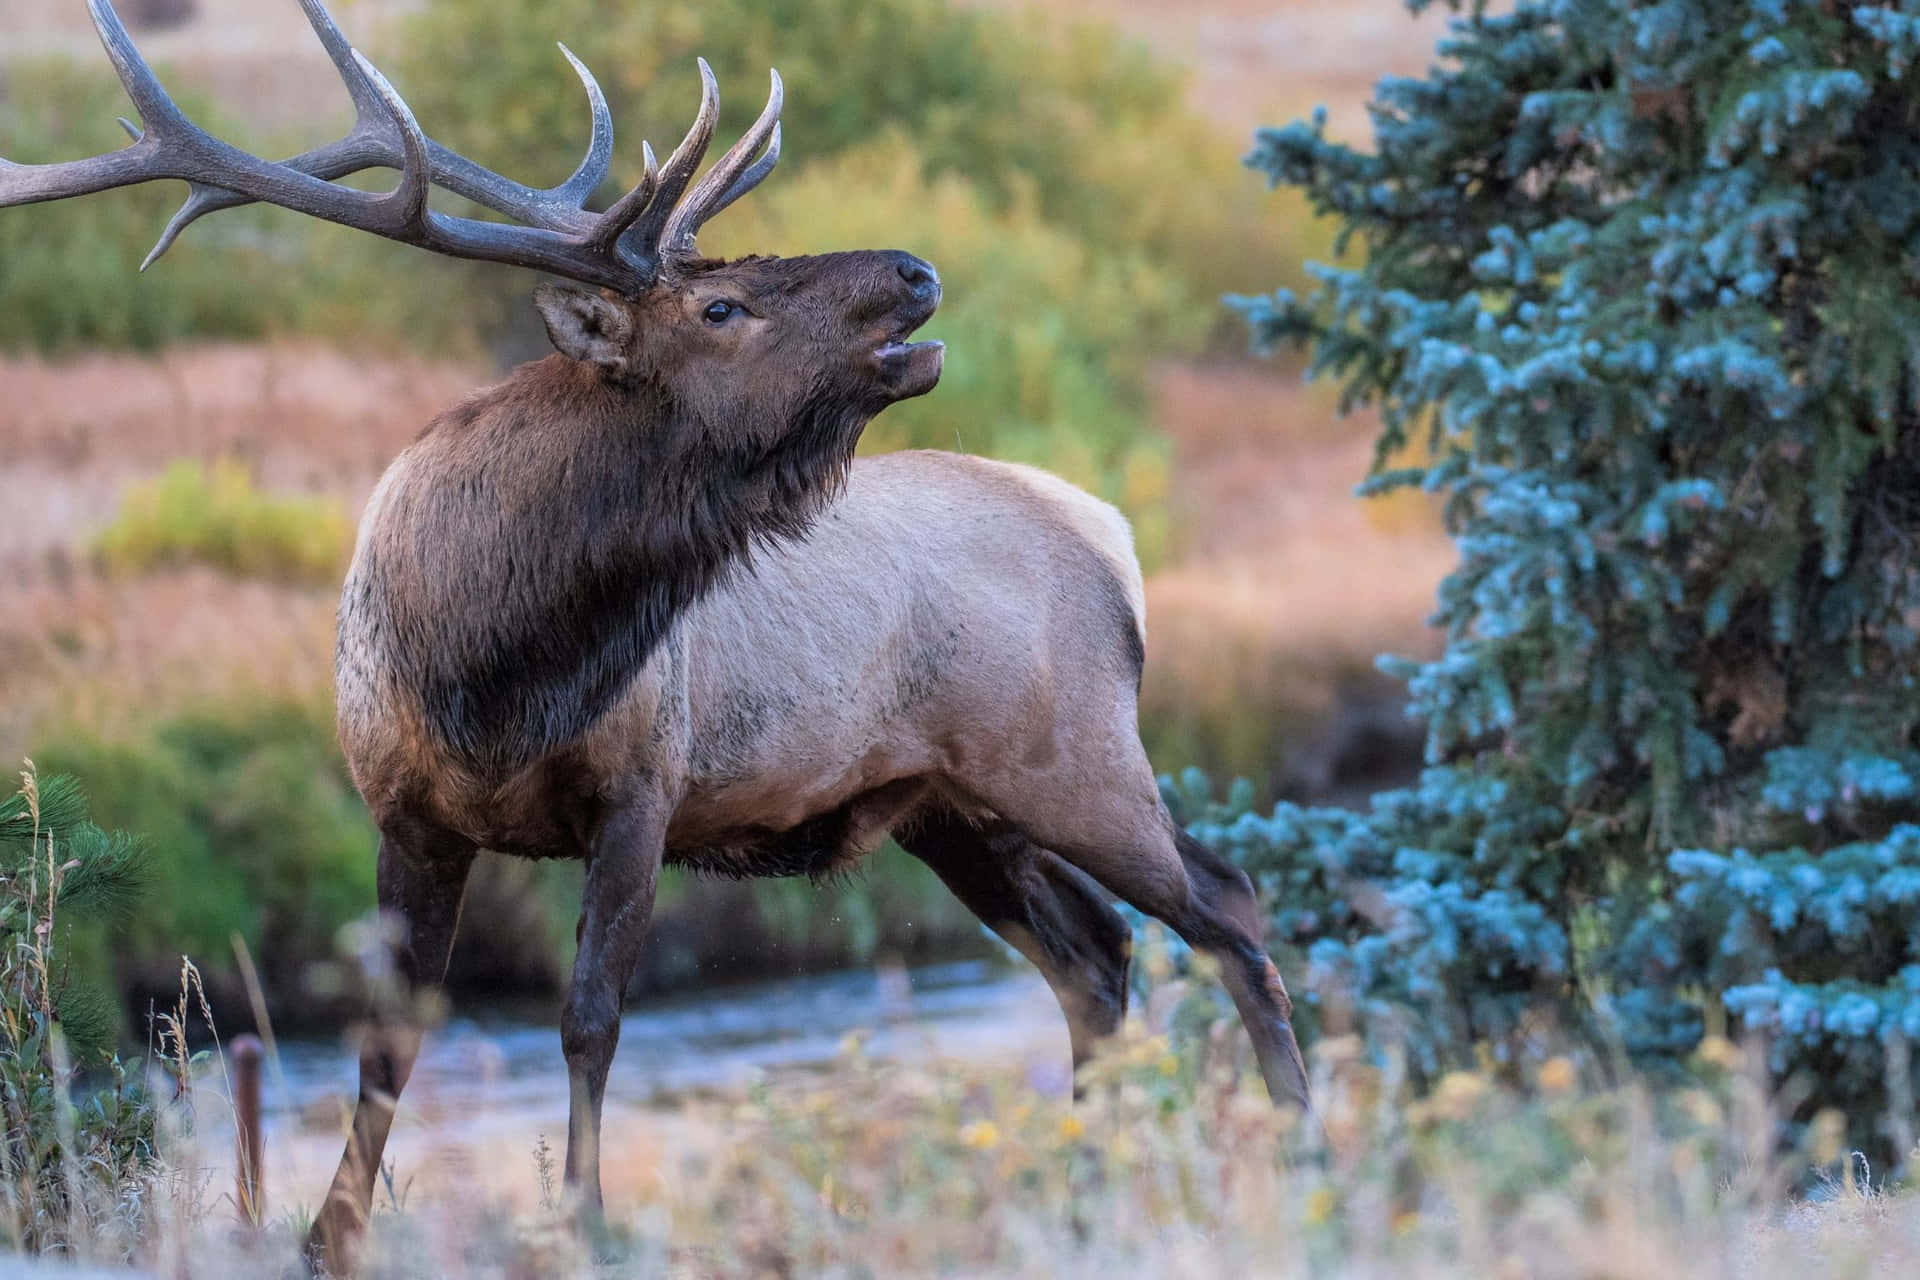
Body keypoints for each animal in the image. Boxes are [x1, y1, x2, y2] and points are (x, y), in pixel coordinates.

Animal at [1, 0, 1313, 1270]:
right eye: (721, 304)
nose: (915, 268)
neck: (492, 670)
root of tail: (1112, 537)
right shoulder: (405, 809)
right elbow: (389, 1037)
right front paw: (330, 1233)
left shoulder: (640, 788)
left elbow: (590, 1017)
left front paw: (580, 1222)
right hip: (954, 805)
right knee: (1098, 954)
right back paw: (1086, 1193)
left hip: (1076, 756)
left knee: (1228, 907)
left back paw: (1307, 1154)